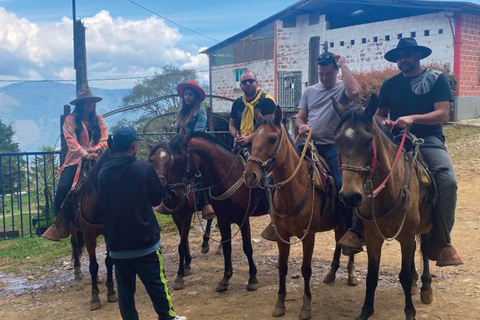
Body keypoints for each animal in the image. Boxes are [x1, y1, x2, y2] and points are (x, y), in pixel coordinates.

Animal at [147, 142, 213, 290]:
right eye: (151, 161)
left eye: (169, 162)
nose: (159, 185)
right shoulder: (176, 217)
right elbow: (185, 239)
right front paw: (187, 263)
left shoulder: (187, 216)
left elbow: (181, 245)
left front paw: (180, 275)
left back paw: (208, 244)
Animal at [244, 107, 356, 320]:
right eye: (251, 140)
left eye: (272, 139)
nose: (249, 176)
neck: (295, 188)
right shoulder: (282, 235)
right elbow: (283, 267)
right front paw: (280, 303)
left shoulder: (308, 236)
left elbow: (306, 269)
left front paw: (306, 306)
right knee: (339, 241)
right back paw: (331, 273)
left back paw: (352, 274)